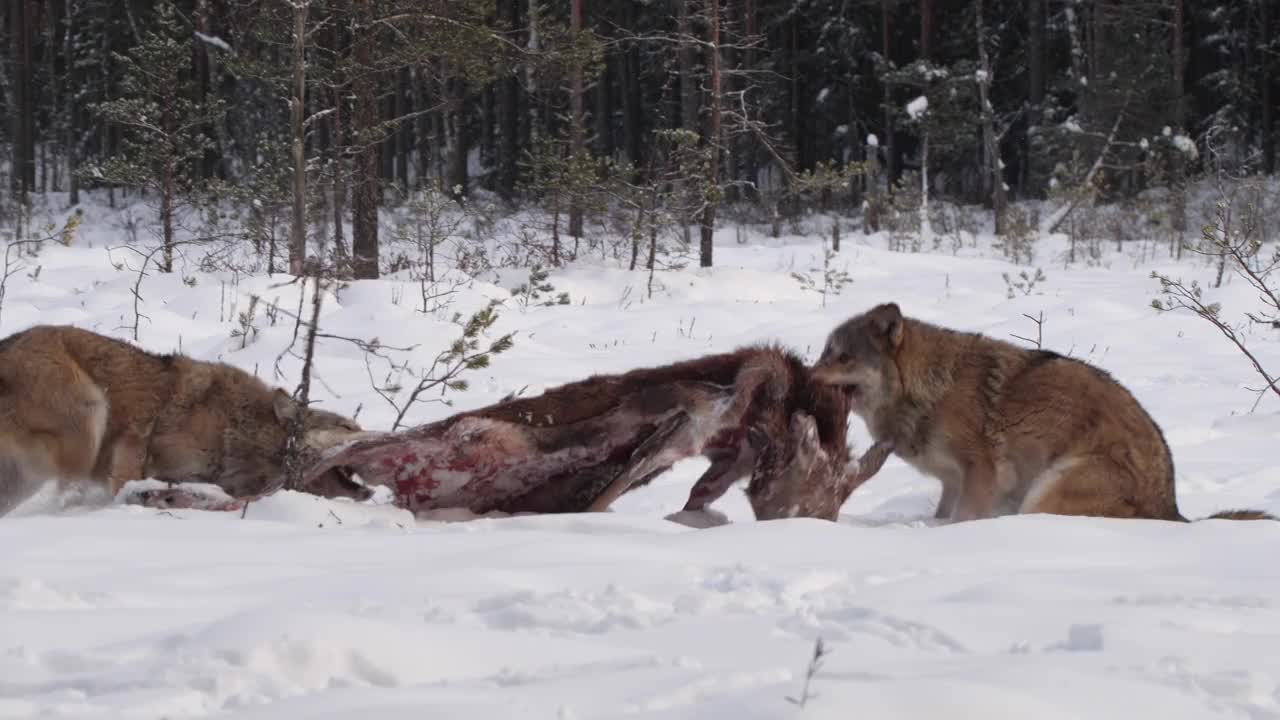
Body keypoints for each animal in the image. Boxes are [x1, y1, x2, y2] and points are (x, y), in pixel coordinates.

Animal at [296, 343, 860, 515]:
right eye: (812, 486)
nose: (819, 523)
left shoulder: (721, 455)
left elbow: (695, 496)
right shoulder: (687, 422)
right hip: (461, 437)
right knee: (335, 446)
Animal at [808, 301, 1280, 520]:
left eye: (843, 357)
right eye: (823, 353)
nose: (805, 377)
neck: (929, 388)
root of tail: (1172, 509)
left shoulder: (980, 473)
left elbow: (963, 519)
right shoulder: (950, 481)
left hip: (1046, 488)